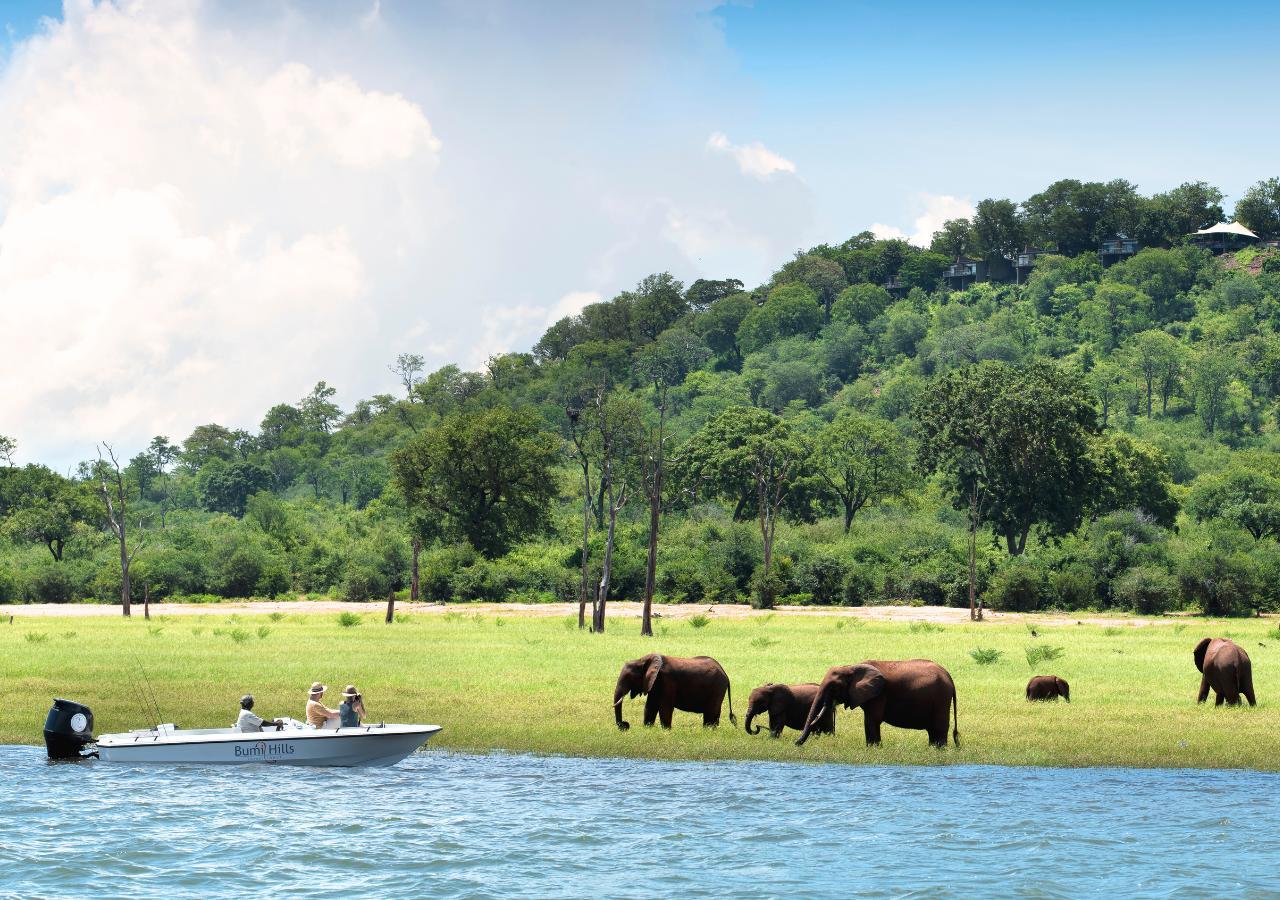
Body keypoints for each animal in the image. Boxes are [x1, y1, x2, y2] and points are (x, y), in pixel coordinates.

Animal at [796, 660, 959, 748]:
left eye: (833, 687)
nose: (795, 743)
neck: (851, 667)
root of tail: (949, 677)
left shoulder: (878, 694)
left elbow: (871, 720)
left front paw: (873, 749)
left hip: (941, 698)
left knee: (939, 728)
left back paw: (939, 750)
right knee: (932, 731)